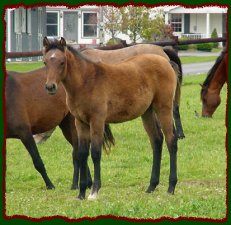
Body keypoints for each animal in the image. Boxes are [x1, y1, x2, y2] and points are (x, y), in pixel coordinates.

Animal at [42, 37, 178, 200]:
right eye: (45, 62)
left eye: (62, 62)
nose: (50, 87)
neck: (86, 81)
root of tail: (165, 61)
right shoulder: (80, 123)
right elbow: (82, 154)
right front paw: (81, 193)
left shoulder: (97, 121)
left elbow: (95, 152)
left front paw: (94, 191)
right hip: (147, 112)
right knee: (156, 141)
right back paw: (151, 186)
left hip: (164, 108)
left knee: (171, 141)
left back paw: (171, 187)